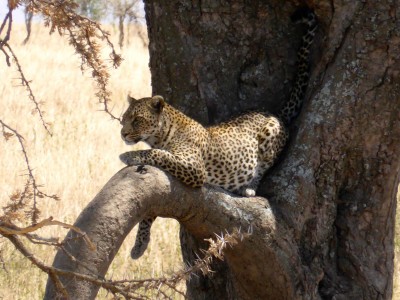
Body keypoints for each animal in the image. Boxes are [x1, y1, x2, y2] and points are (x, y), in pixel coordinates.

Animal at [117, 8, 318, 258]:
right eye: (124, 119)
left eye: (137, 120)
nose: (123, 134)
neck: (162, 134)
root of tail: (273, 112)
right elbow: (149, 211)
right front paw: (140, 244)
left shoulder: (193, 168)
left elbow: (158, 154)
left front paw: (128, 156)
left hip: (269, 135)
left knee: (264, 166)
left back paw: (248, 187)